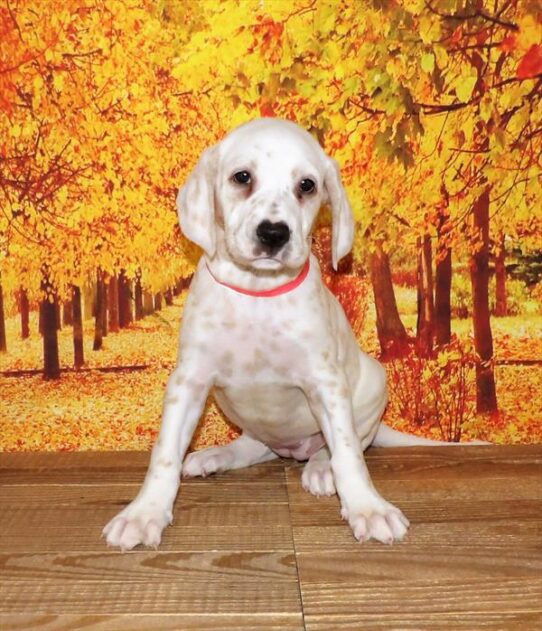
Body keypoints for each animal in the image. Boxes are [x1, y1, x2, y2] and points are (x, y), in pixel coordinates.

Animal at [104, 118, 448, 552]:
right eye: (242, 177)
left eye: (307, 185)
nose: (273, 233)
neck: (258, 292)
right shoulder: (189, 381)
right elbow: (164, 453)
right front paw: (144, 512)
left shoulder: (325, 383)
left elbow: (348, 451)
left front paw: (368, 508)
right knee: (254, 446)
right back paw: (215, 456)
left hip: (374, 383)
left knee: (348, 441)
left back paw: (321, 468)